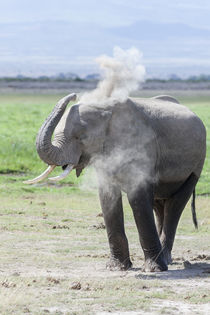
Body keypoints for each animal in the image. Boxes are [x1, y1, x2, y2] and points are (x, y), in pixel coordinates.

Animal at [25, 92, 206, 272]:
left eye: (81, 137)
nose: (74, 95)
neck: (106, 110)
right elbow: (108, 198)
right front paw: (117, 267)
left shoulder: (140, 147)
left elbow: (138, 199)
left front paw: (154, 269)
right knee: (159, 204)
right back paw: (166, 258)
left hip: (196, 166)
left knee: (176, 204)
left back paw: (165, 259)